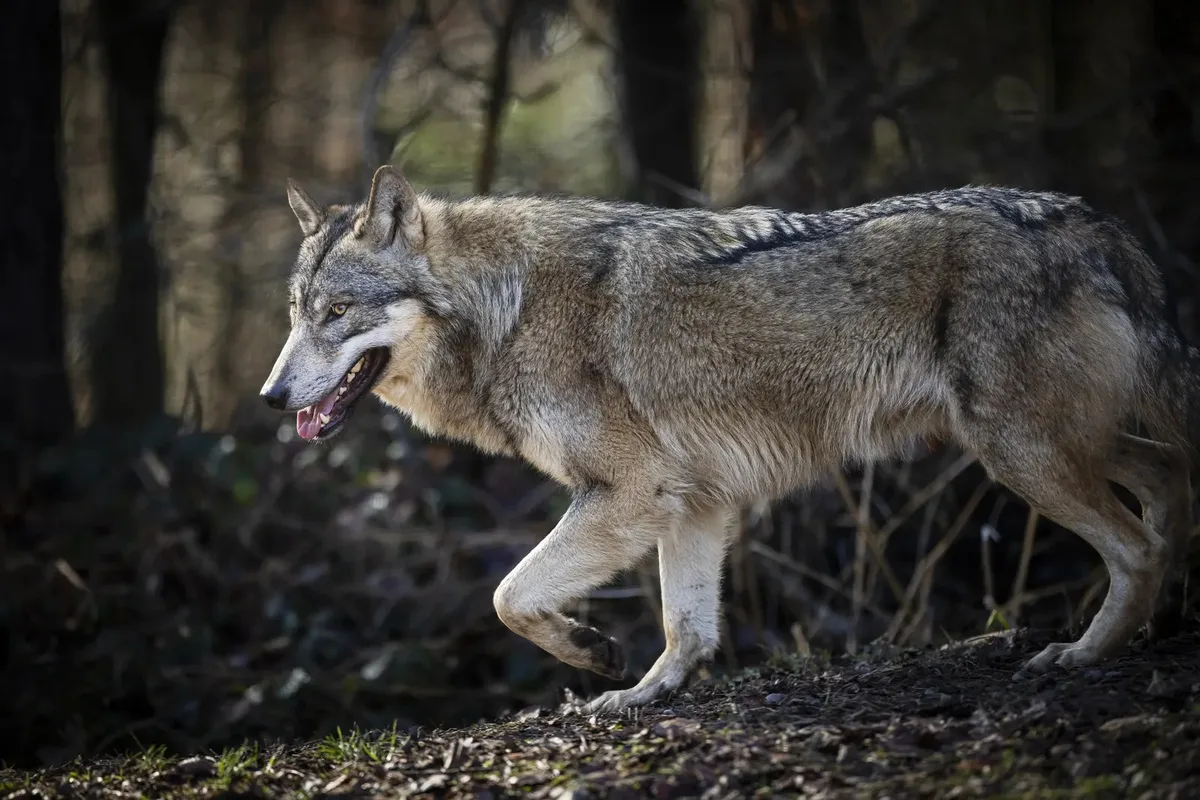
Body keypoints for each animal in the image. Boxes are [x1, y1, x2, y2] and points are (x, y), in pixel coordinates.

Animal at [260, 164, 1199, 714]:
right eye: (296, 315)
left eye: (336, 314)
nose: (270, 396)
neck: (505, 308)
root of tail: (1091, 220)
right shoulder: (693, 503)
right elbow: (687, 627)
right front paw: (643, 693)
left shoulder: (629, 494)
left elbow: (508, 596)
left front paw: (593, 652)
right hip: (1061, 443)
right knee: (1166, 488)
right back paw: (1156, 620)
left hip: (1020, 451)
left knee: (1137, 544)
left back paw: (1084, 654)